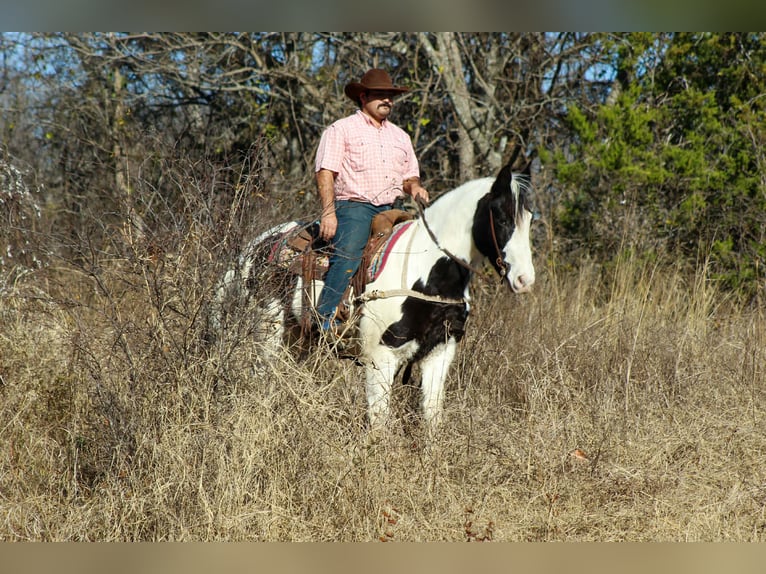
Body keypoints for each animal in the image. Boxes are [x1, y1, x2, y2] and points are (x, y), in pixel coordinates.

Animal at [209, 160, 535, 434]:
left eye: (530, 220)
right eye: (502, 218)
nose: (524, 280)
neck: (427, 272)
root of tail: (255, 246)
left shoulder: (440, 352)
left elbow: (432, 416)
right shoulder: (381, 356)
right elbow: (379, 419)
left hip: (298, 339)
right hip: (268, 329)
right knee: (261, 374)